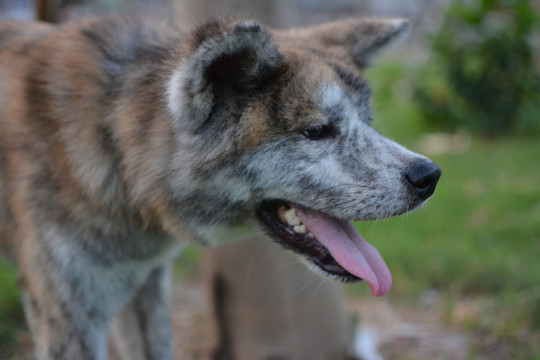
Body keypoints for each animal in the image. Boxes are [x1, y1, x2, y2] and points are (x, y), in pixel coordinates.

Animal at [0, 14, 438, 360]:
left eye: (368, 121)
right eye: (317, 130)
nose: (429, 176)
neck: (113, 141)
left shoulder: (146, 288)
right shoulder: (69, 318)